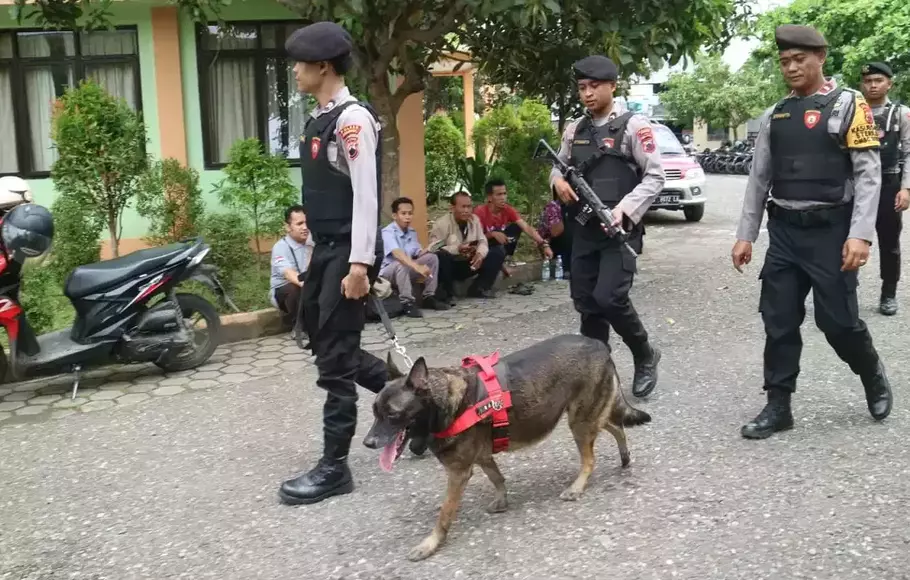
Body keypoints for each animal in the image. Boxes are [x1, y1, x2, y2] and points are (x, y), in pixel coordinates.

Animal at [360, 334, 652, 560]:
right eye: (375, 412)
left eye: (393, 414)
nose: (368, 443)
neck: (447, 402)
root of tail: (598, 344)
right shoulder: (482, 457)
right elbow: (497, 477)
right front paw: (502, 499)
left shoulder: (458, 473)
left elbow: (444, 514)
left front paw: (430, 544)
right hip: (587, 416)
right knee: (615, 425)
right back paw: (624, 455)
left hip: (579, 421)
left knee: (590, 457)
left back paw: (577, 486)